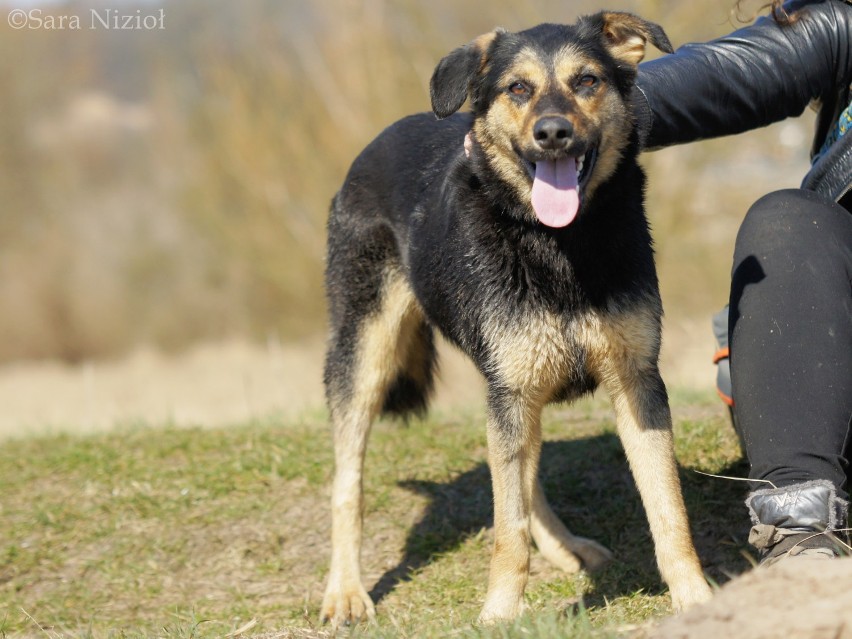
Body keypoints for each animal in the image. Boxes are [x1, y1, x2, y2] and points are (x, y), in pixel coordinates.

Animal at [320, 12, 712, 628]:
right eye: (518, 89)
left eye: (587, 81)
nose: (552, 132)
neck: (559, 244)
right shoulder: (513, 389)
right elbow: (507, 530)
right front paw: (499, 617)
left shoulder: (635, 383)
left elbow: (667, 510)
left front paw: (696, 599)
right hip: (364, 356)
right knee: (348, 480)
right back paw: (345, 590)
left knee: (524, 483)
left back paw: (565, 545)